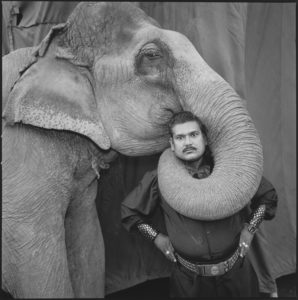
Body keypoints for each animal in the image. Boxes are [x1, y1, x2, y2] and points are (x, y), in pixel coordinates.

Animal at [2, 1, 264, 298]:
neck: (47, 51)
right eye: (152, 55)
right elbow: (39, 271)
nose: (183, 145)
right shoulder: (22, 168)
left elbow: (90, 246)